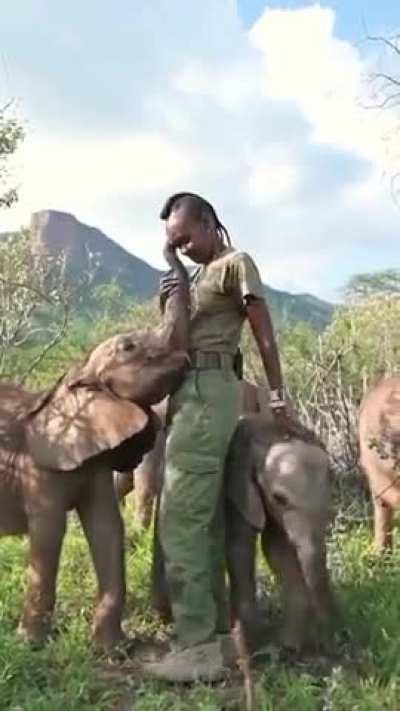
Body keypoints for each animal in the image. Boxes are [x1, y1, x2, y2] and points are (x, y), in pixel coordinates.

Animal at [0, 245, 190, 652]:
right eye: (128, 347)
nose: (175, 244)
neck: (77, 374)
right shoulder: (40, 469)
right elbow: (49, 531)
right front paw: (31, 644)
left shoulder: (95, 462)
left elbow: (106, 528)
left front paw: (112, 649)